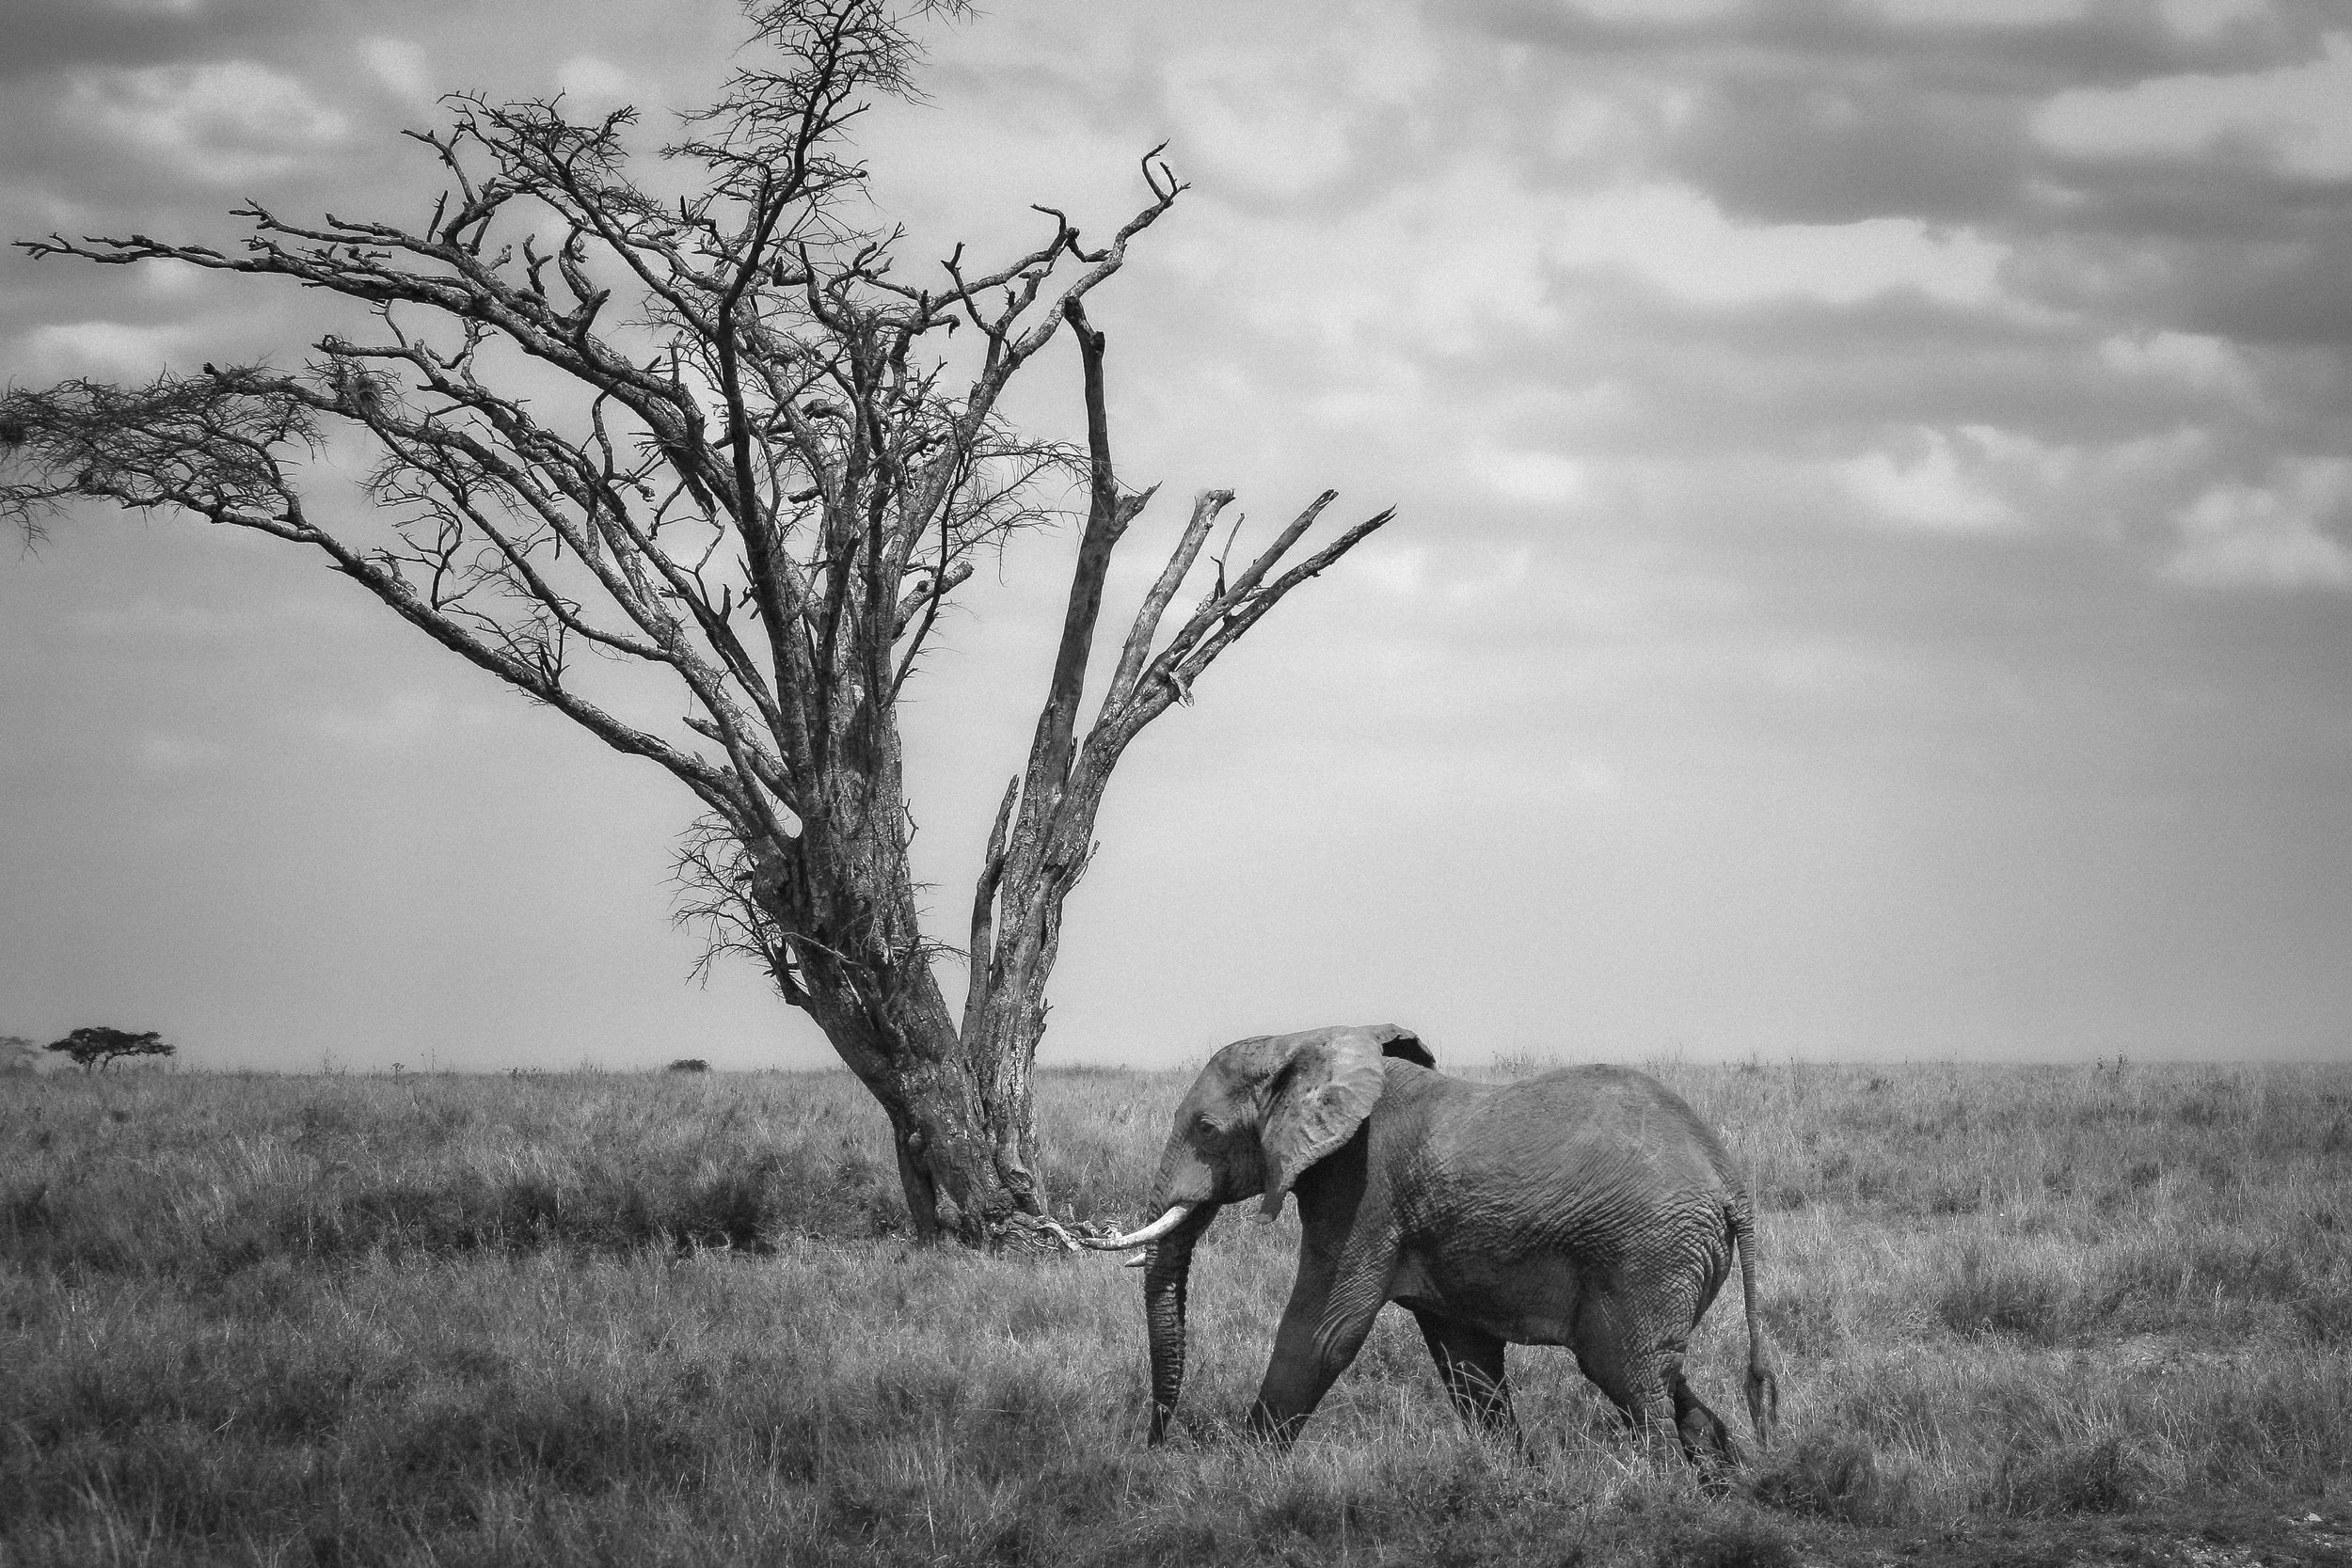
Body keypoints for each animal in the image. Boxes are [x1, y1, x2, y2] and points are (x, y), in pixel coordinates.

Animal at [1080, 1024, 1776, 1474]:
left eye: (1206, 1129)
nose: (1154, 1447)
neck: (1306, 1037)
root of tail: (1729, 1180)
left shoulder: (1362, 1189)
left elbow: (1323, 1331)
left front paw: (1238, 1477)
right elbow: (1464, 1358)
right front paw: (1516, 1481)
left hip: (1647, 1253)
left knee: (1631, 1377)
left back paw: (1665, 1492)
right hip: (1666, 1258)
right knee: (1659, 1375)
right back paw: (1729, 1487)